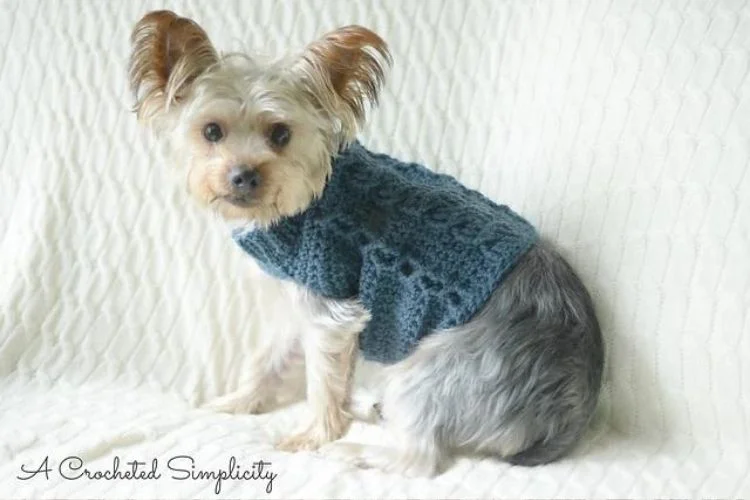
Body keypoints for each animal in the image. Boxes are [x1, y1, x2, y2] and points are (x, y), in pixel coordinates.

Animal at [129, 10, 608, 476]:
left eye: (281, 134)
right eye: (212, 131)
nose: (244, 176)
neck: (306, 198)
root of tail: (570, 409)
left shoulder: (329, 303)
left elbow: (321, 380)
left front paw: (315, 436)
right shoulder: (298, 299)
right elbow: (268, 358)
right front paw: (237, 403)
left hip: (439, 369)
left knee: (419, 457)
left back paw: (354, 449)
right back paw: (365, 408)